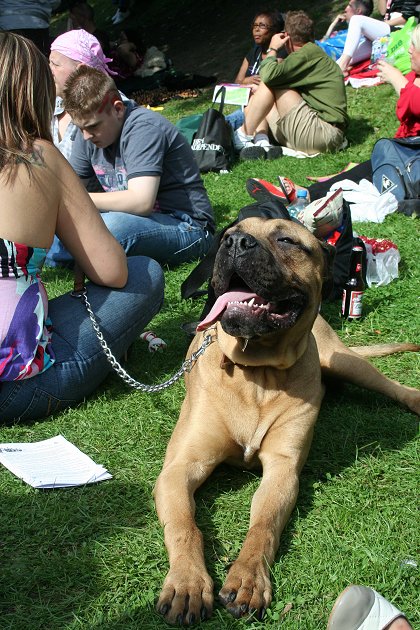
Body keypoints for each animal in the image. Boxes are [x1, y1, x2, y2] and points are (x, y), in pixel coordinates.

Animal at [155, 217, 420, 628]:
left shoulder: (283, 469)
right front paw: (186, 582)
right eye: (228, 233)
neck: (257, 373)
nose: (235, 242)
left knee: (393, 386)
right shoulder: (180, 467)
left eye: (287, 240)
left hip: (344, 362)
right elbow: (186, 527)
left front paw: (248, 579)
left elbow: (262, 527)